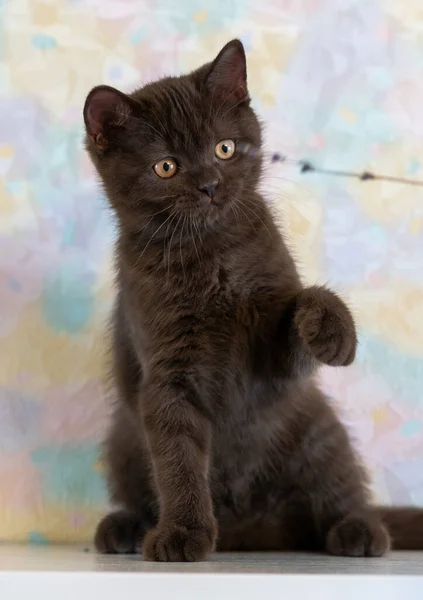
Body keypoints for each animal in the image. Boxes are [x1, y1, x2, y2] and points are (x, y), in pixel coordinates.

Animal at [83, 39, 423, 560]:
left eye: (224, 148)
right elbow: (177, 459)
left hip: (319, 429)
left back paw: (359, 530)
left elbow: (304, 308)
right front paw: (182, 533)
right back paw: (127, 527)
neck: (212, 257)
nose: (209, 185)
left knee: (341, 488)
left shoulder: (272, 362)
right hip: (123, 437)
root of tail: (252, 530)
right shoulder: (166, 374)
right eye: (166, 166)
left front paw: (330, 328)